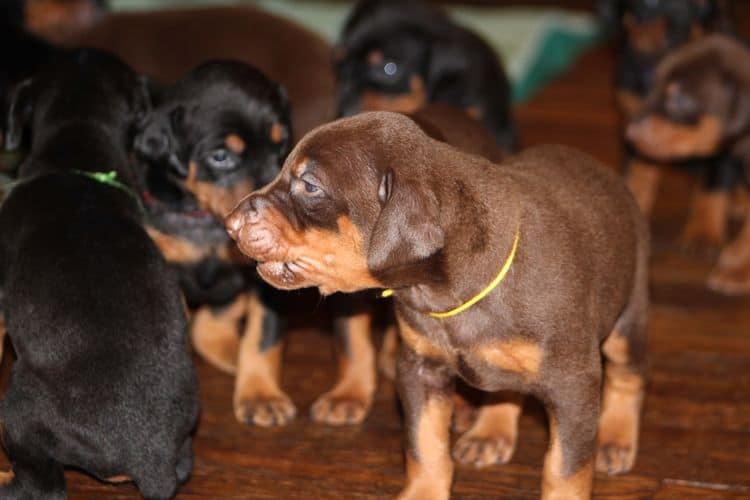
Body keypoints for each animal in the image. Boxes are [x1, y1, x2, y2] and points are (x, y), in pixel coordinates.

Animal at [226, 113, 648, 500]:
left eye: (310, 185)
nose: (229, 223)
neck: (445, 293)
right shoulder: (420, 368)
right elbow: (424, 444)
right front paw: (423, 492)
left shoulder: (572, 384)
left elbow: (565, 469)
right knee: (506, 388)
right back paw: (489, 433)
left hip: (628, 316)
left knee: (628, 376)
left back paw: (615, 440)